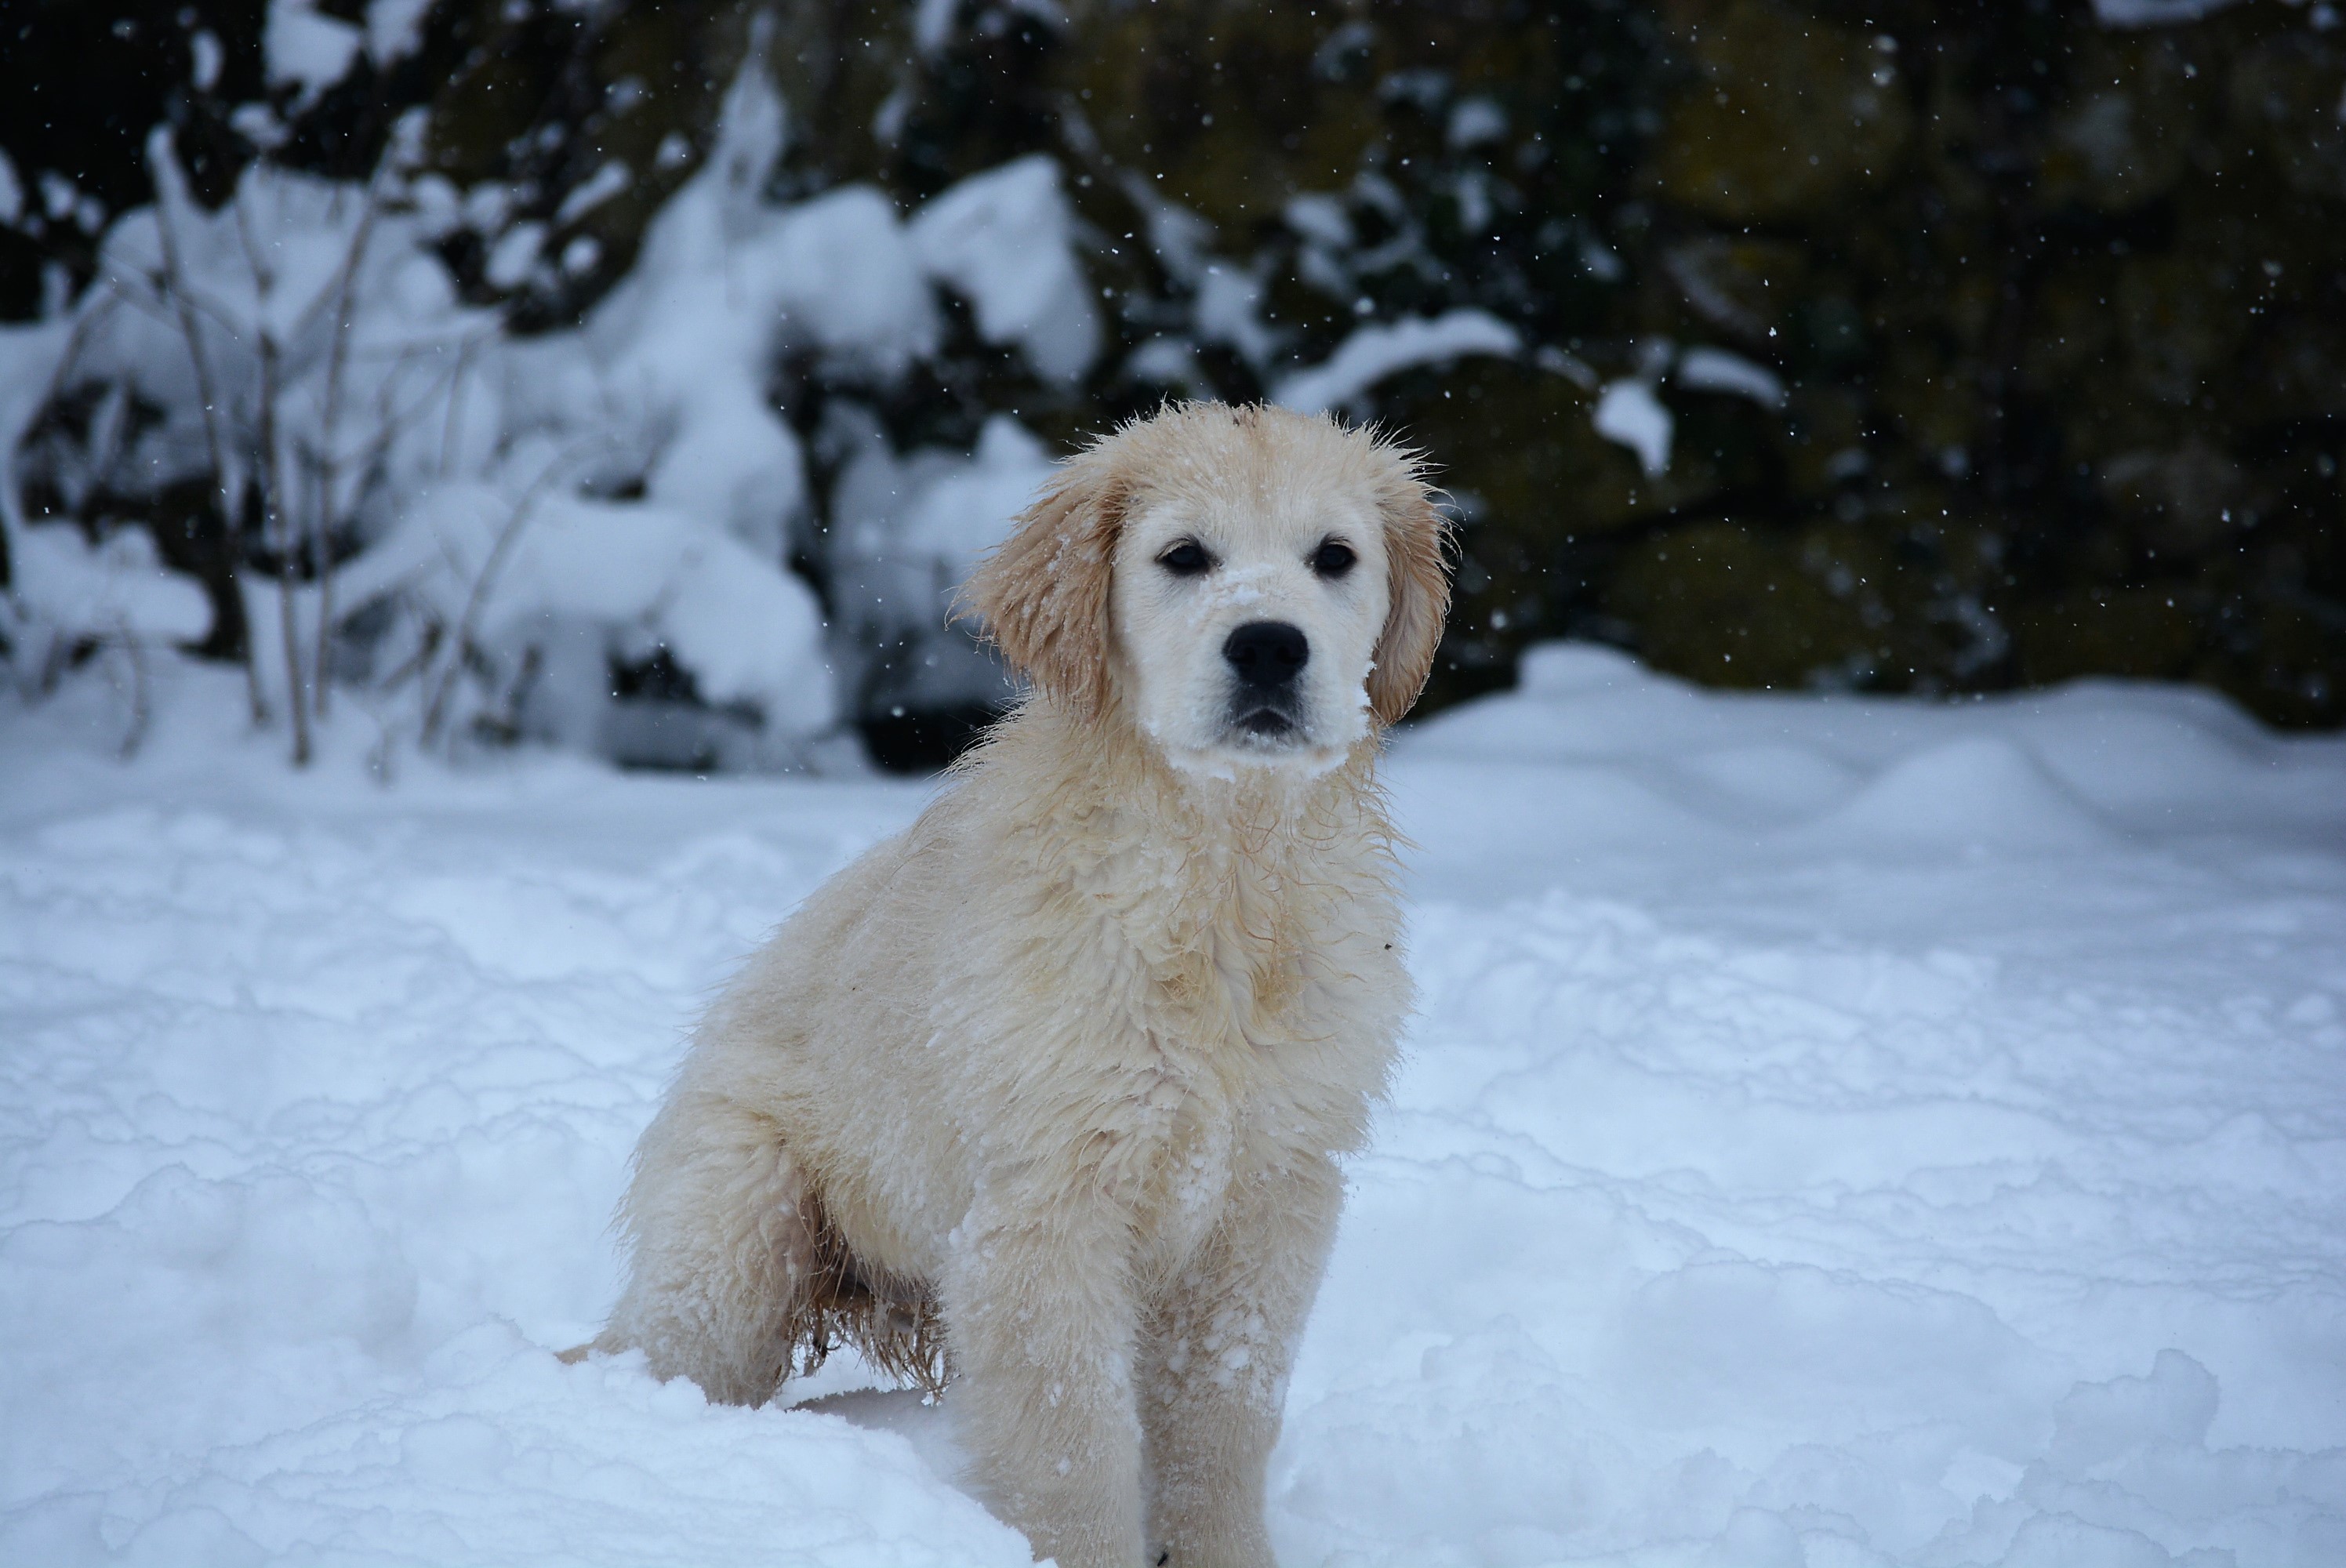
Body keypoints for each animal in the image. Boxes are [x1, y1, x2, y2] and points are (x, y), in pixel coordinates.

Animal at [582, 403, 1445, 1567]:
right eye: (1184, 557)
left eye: (1335, 558)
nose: (1269, 644)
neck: (1217, 870)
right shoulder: (1047, 1205)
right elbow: (1072, 1440)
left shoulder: (1272, 1193)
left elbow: (1223, 1412)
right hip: (737, 1230)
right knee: (657, 1356)